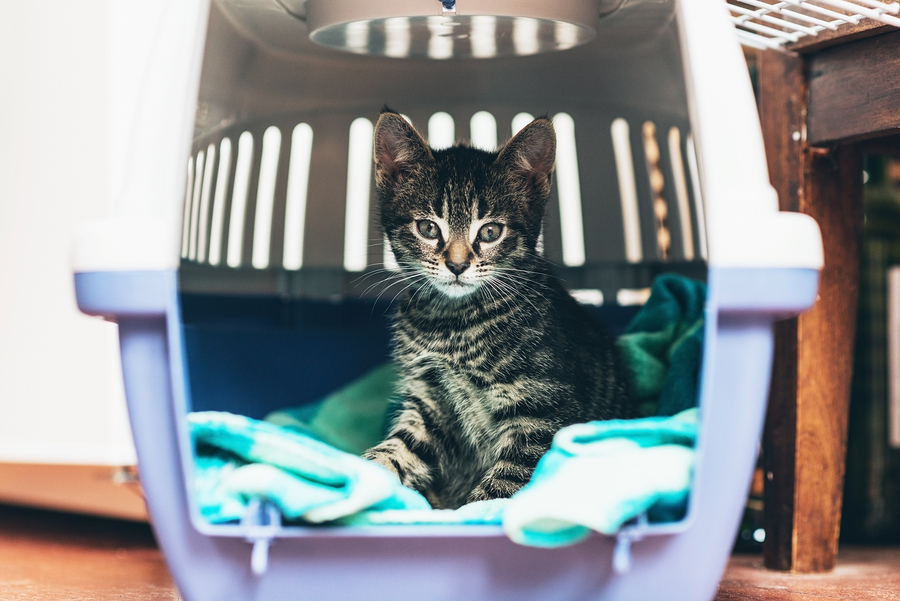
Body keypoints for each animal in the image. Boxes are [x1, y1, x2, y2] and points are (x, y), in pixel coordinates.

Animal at [362, 109, 628, 506]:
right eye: (427, 228)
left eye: (490, 232)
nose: (457, 265)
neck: (452, 323)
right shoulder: (429, 405)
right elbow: (400, 449)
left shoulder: (543, 415)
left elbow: (500, 490)